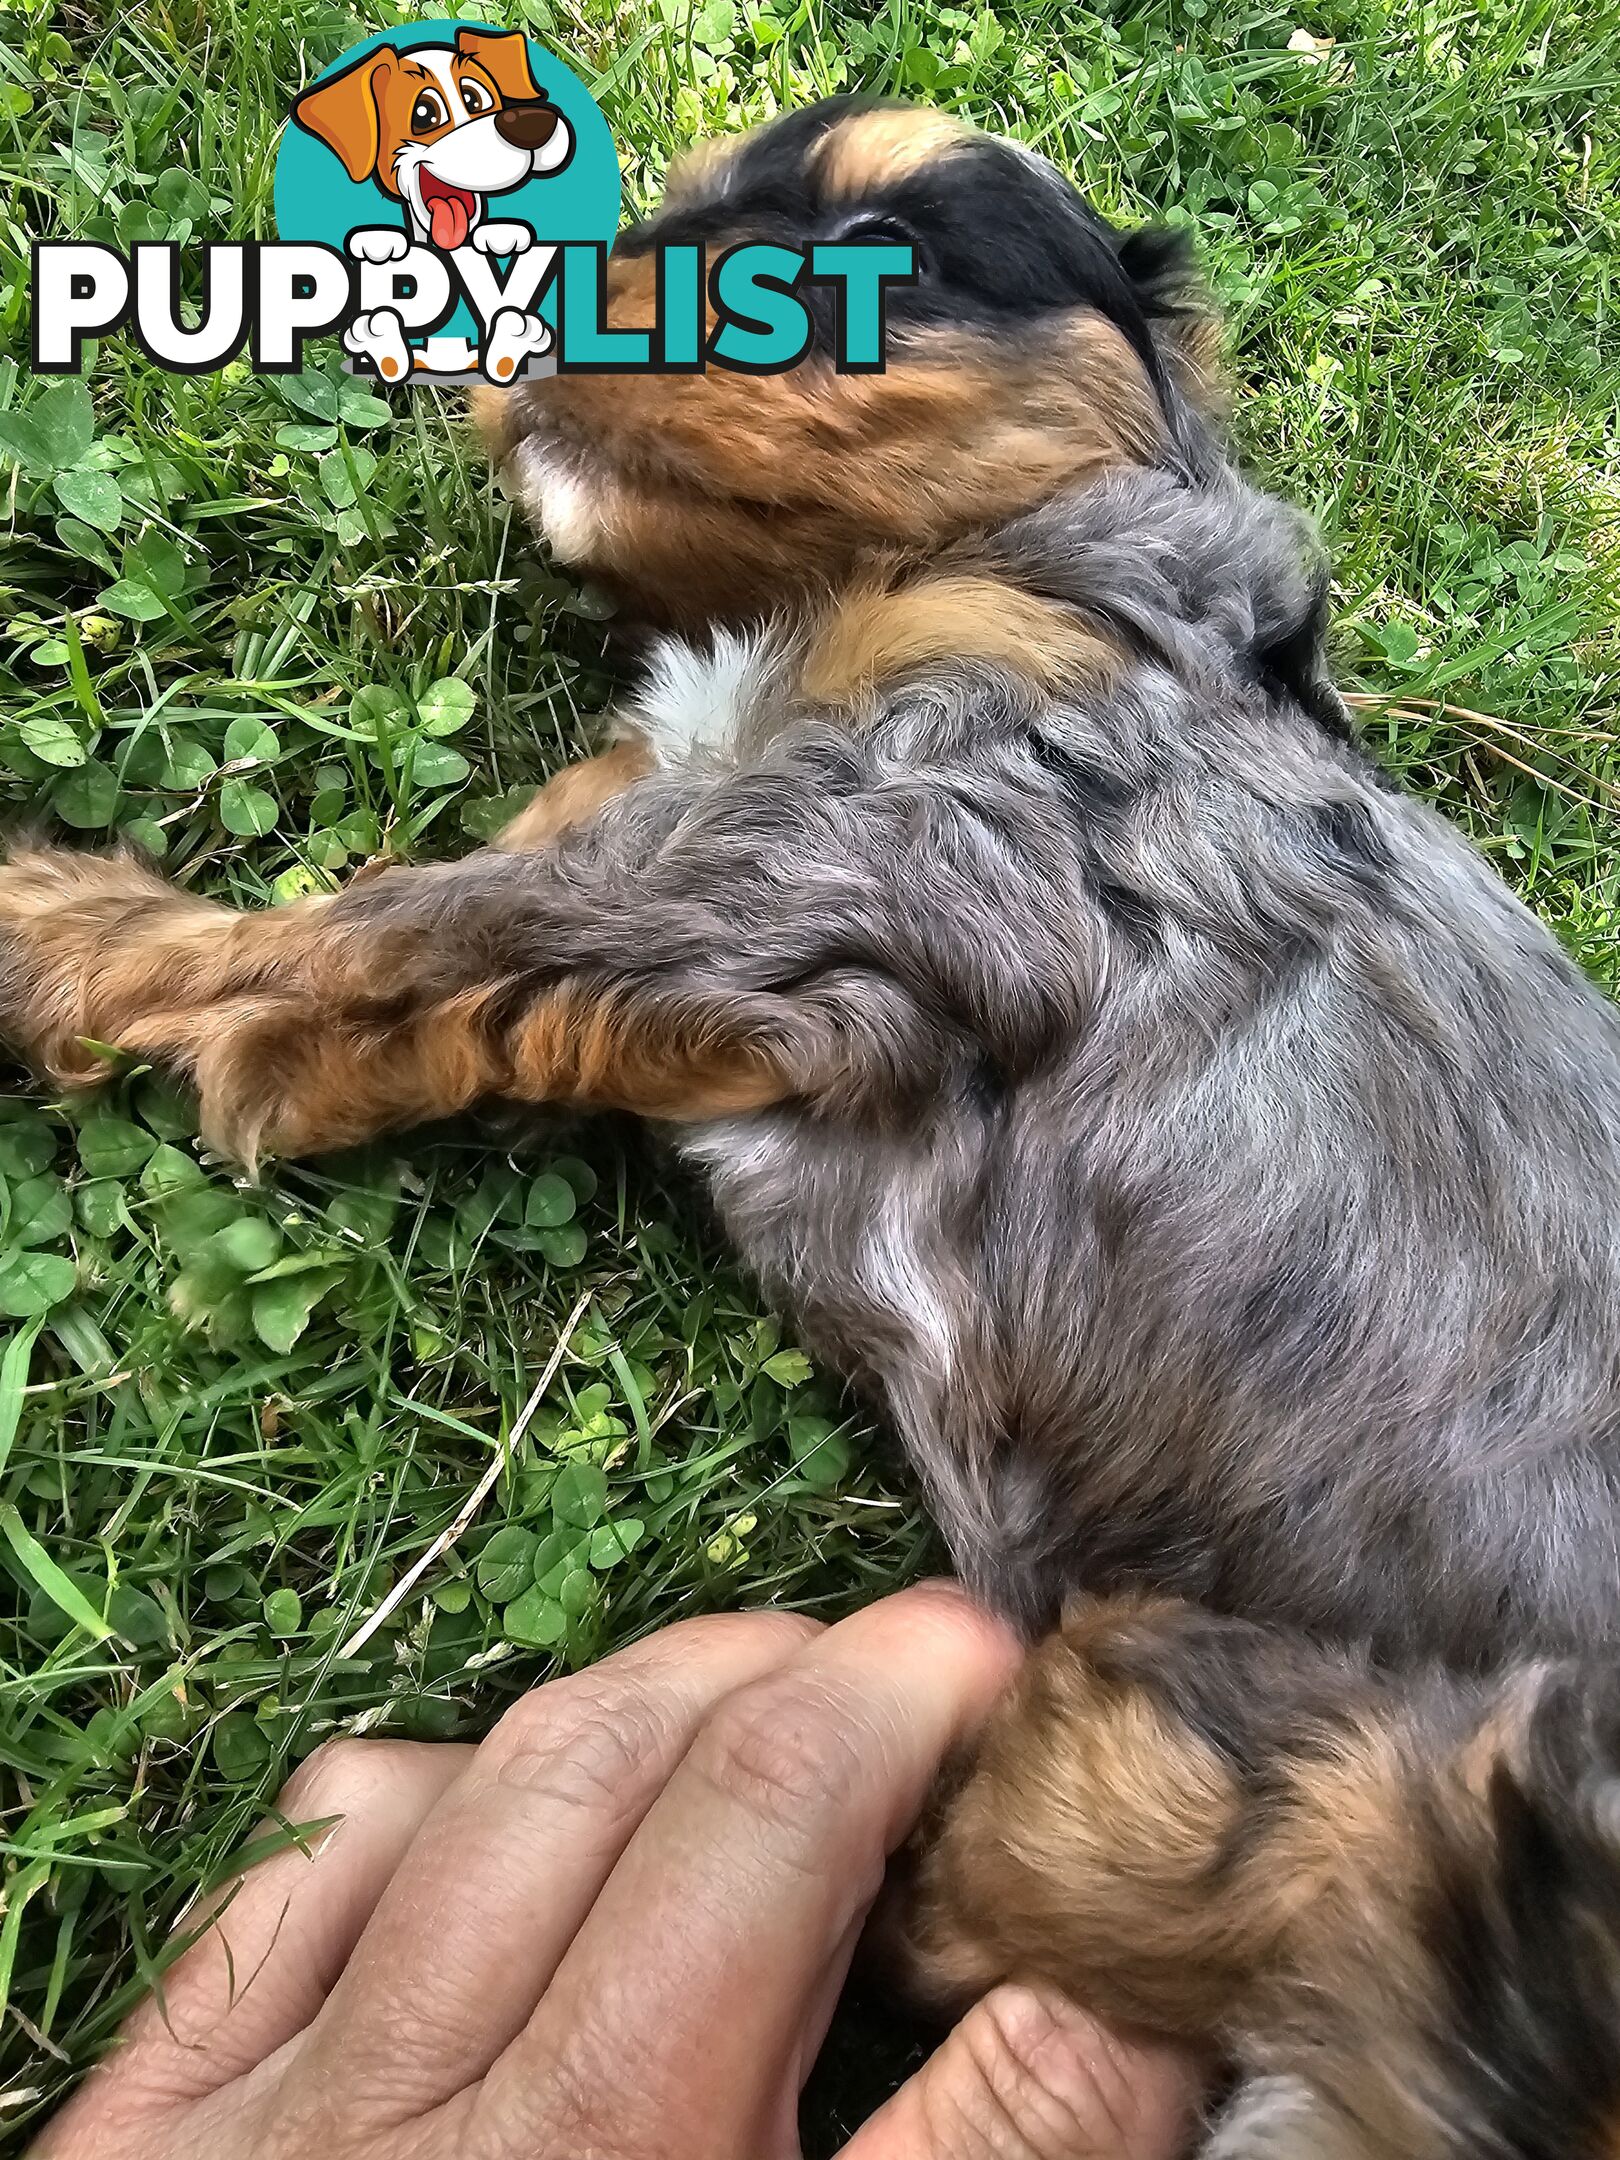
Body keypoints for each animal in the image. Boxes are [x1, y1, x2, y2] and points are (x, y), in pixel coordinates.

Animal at [9, 97, 1620, 2142]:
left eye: (881, 250)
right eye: (679, 206)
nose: (570, 287)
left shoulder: (842, 861)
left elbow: (383, 922)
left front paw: (58, 926)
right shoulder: (687, 835)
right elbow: (458, 927)